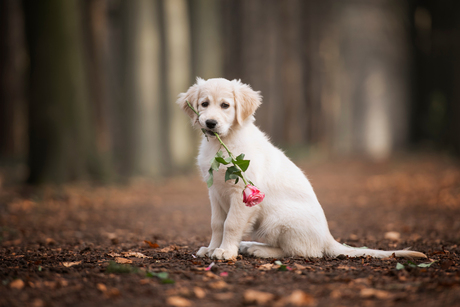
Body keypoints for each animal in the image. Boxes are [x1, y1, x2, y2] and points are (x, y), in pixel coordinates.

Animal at [177, 77, 428, 260]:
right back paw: (248, 244)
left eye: (225, 106)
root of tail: (328, 237)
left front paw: (226, 251)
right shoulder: (215, 192)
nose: (210, 123)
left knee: (304, 252)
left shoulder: (242, 192)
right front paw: (211, 248)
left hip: (277, 219)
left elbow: (231, 224)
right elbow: (216, 224)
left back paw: (258, 249)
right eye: (204, 104)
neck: (223, 144)